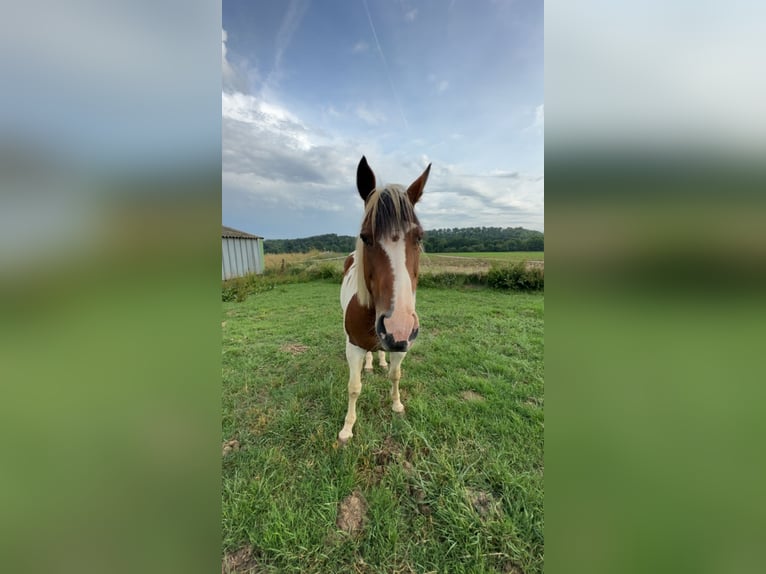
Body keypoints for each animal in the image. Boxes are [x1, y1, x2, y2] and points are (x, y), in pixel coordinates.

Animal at [340, 155, 432, 444]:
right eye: (365, 237)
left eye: (419, 236)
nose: (397, 328)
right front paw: (347, 428)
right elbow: (354, 387)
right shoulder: (353, 346)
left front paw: (397, 404)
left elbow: (395, 374)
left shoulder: (402, 346)